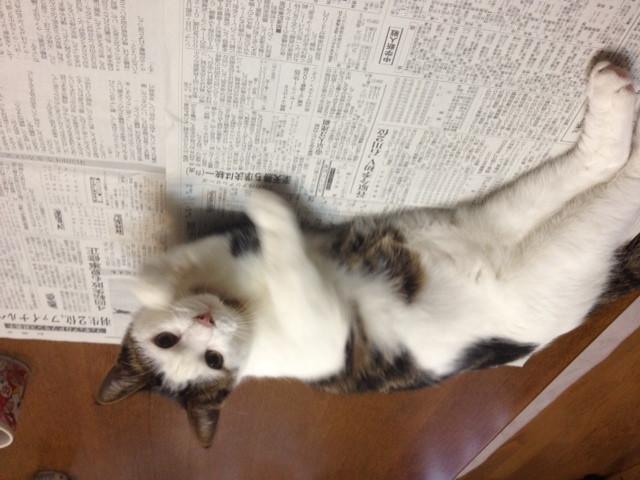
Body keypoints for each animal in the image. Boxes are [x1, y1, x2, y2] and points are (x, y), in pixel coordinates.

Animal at [96, 61, 640, 447]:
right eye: (210, 360)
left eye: (169, 340)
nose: (207, 321)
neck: (242, 299)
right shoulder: (325, 329)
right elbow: (292, 270)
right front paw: (272, 207)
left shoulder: (223, 246)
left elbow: (156, 269)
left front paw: (160, 281)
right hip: (558, 245)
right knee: (610, 180)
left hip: (495, 216)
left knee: (592, 166)